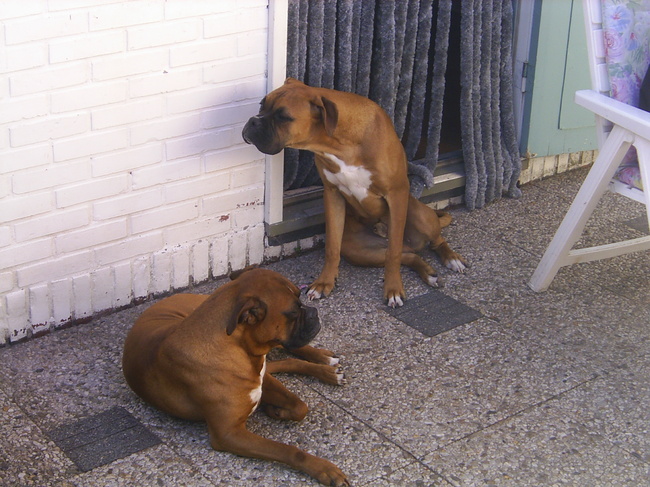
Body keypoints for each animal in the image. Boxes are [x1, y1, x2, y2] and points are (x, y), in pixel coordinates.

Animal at [119, 268, 346, 486]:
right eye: (292, 312)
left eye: (301, 298)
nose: (314, 311)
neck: (237, 345)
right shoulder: (229, 434)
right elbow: (287, 448)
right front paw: (324, 469)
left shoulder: (260, 379)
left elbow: (300, 406)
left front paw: (276, 410)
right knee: (283, 361)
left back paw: (325, 362)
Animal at [243, 79, 466, 308]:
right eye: (261, 105)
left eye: (283, 117)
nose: (252, 121)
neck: (340, 143)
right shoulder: (332, 195)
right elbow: (332, 247)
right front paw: (324, 283)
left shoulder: (396, 194)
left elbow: (394, 252)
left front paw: (393, 289)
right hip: (360, 251)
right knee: (408, 256)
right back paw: (428, 272)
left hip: (419, 215)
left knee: (431, 241)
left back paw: (452, 259)